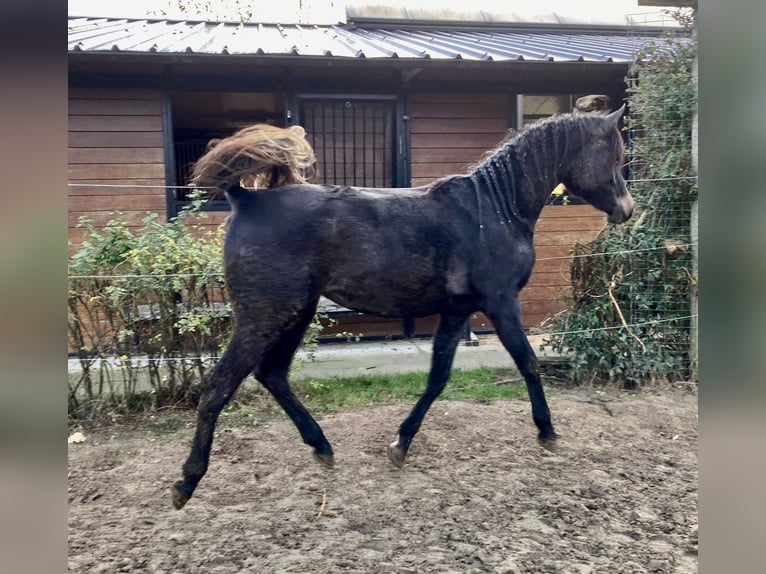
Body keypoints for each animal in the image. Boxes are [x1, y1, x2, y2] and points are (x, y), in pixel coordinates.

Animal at [172, 106, 634, 509]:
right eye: (616, 155)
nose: (627, 210)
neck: (495, 209)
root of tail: (245, 200)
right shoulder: (501, 303)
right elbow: (528, 363)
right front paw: (547, 431)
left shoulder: (458, 310)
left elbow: (437, 377)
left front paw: (400, 444)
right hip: (263, 315)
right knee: (220, 385)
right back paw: (186, 482)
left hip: (295, 312)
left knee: (273, 375)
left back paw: (322, 447)